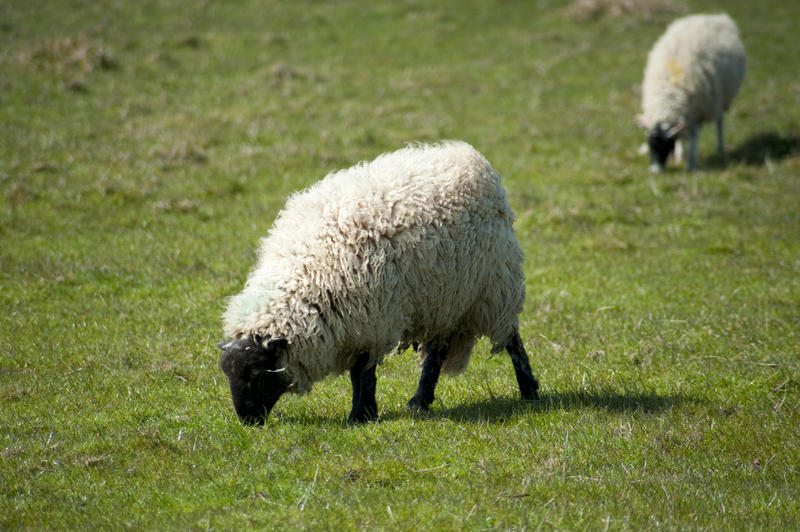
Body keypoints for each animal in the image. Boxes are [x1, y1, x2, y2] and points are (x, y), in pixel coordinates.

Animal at [219, 140, 536, 424]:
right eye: (228, 373)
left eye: (255, 373)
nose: (247, 421)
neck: (307, 274)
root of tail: (471, 159)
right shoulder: (356, 324)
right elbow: (359, 373)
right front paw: (366, 413)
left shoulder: (372, 320)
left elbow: (363, 372)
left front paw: (360, 415)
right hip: (445, 296)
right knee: (437, 350)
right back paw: (420, 402)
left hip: (493, 285)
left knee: (511, 338)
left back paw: (529, 390)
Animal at [636, 13, 748, 170]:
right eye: (650, 144)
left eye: (666, 146)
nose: (656, 171)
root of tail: (716, 16)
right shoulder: (686, 114)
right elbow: (682, 136)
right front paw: (680, 157)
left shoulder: (698, 110)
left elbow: (694, 135)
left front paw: (692, 164)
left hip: (719, 97)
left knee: (719, 121)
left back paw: (720, 148)